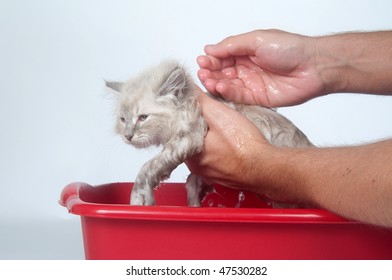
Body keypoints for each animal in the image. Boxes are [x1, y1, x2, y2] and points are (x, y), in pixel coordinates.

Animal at [105, 60, 314, 207]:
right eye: (123, 119)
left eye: (142, 117)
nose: (128, 136)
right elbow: (191, 182)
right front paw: (195, 205)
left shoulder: (188, 138)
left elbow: (147, 169)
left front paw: (139, 200)